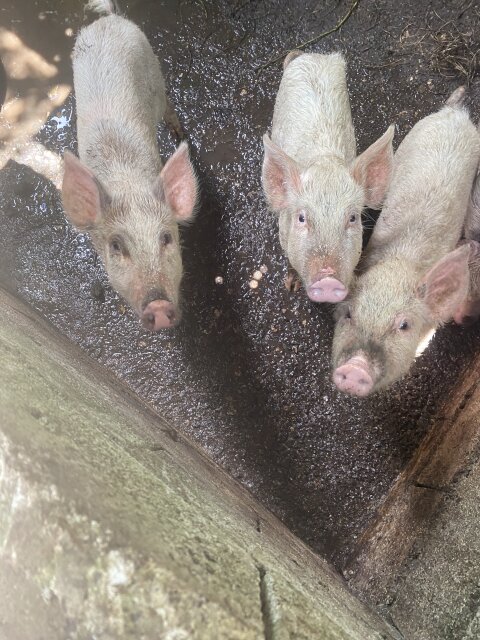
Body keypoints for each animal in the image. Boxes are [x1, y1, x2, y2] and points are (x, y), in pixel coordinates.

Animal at [62, 0, 198, 331]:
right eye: (116, 246)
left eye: (166, 238)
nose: (158, 305)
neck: (128, 184)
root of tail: (110, 20)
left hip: (153, 69)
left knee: (167, 105)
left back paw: (179, 135)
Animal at [262, 51, 395, 303]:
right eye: (301, 218)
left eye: (352, 218)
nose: (327, 279)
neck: (325, 161)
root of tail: (310, 55)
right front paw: (290, 286)